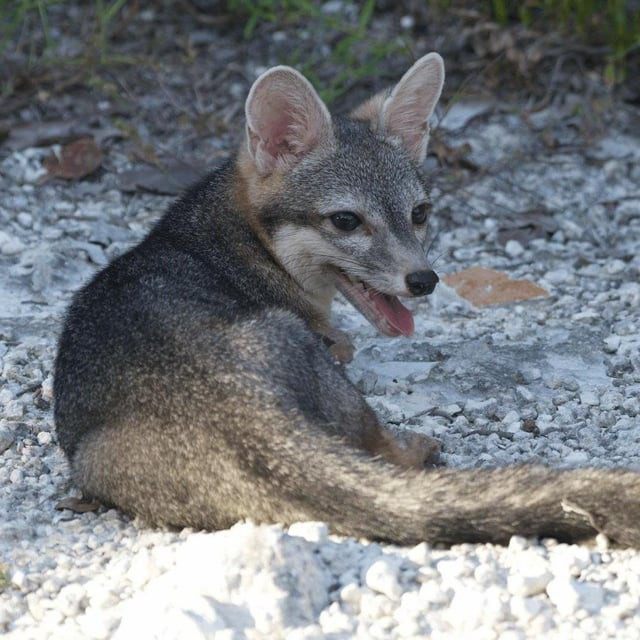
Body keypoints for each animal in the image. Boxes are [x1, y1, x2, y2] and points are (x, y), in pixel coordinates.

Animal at [54, 53, 640, 546]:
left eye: (420, 214)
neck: (234, 242)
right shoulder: (331, 345)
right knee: (382, 449)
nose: (423, 280)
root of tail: (235, 409)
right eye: (345, 221)